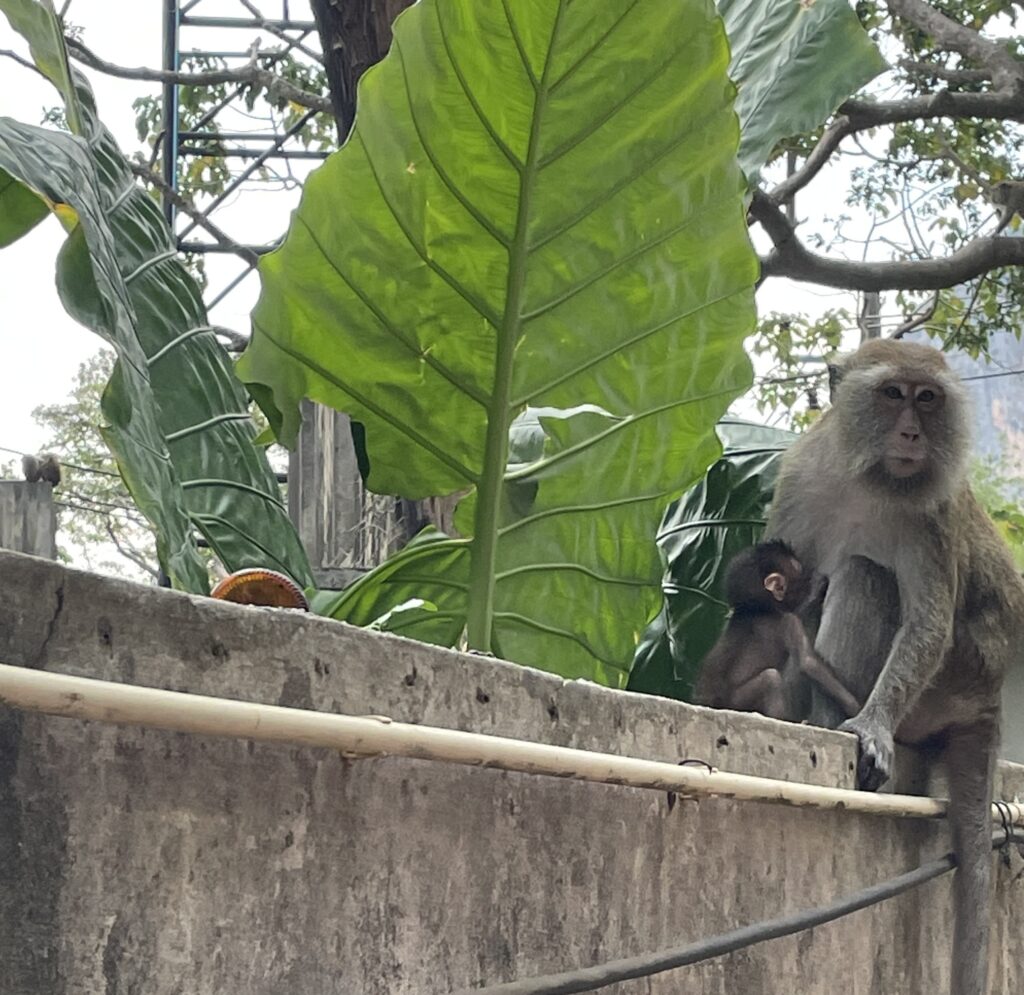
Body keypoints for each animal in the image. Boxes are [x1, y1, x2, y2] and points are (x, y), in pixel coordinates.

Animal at [693, 541, 860, 721]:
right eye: (798, 567)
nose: (810, 570)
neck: (758, 609)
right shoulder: (788, 621)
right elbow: (808, 662)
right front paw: (856, 707)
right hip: (736, 703)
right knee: (770, 679)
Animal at [766, 337, 1024, 995]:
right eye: (892, 395)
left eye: (927, 398)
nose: (911, 433)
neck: (867, 477)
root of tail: (990, 694)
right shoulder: (797, 480)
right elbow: (781, 598)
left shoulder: (932, 513)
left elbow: (928, 625)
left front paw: (872, 726)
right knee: (830, 584)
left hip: (953, 680)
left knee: (863, 574)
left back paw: (837, 717)